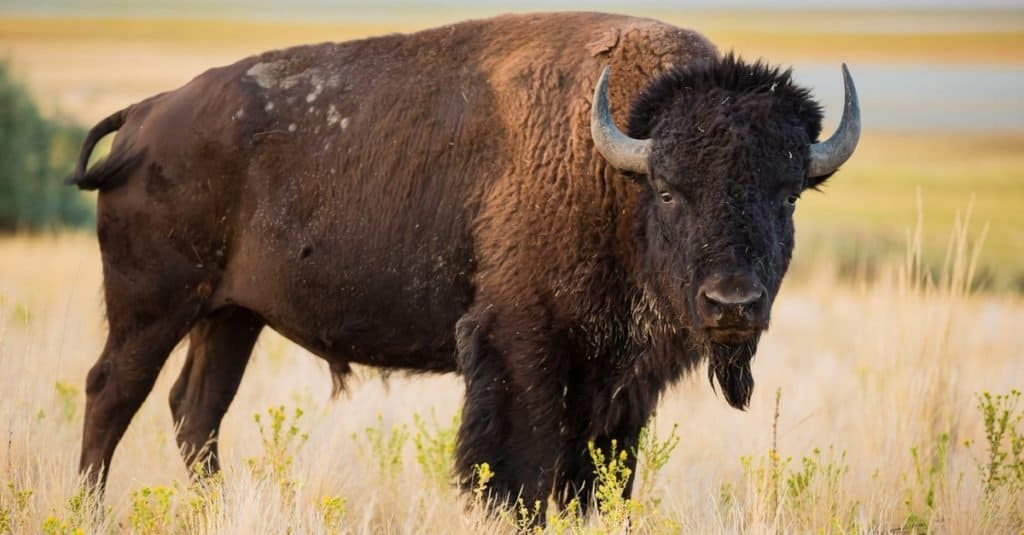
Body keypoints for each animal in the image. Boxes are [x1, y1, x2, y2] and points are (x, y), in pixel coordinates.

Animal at [68, 11, 860, 512]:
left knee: (196, 410)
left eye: (788, 194)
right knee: (113, 392)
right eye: (669, 190)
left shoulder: (619, 381)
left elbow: (595, 479)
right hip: (153, 307)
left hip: (232, 316)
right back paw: (89, 508)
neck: (614, 168)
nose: (733, 304)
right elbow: (521, 473)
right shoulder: (521, 346)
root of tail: (147, 115)